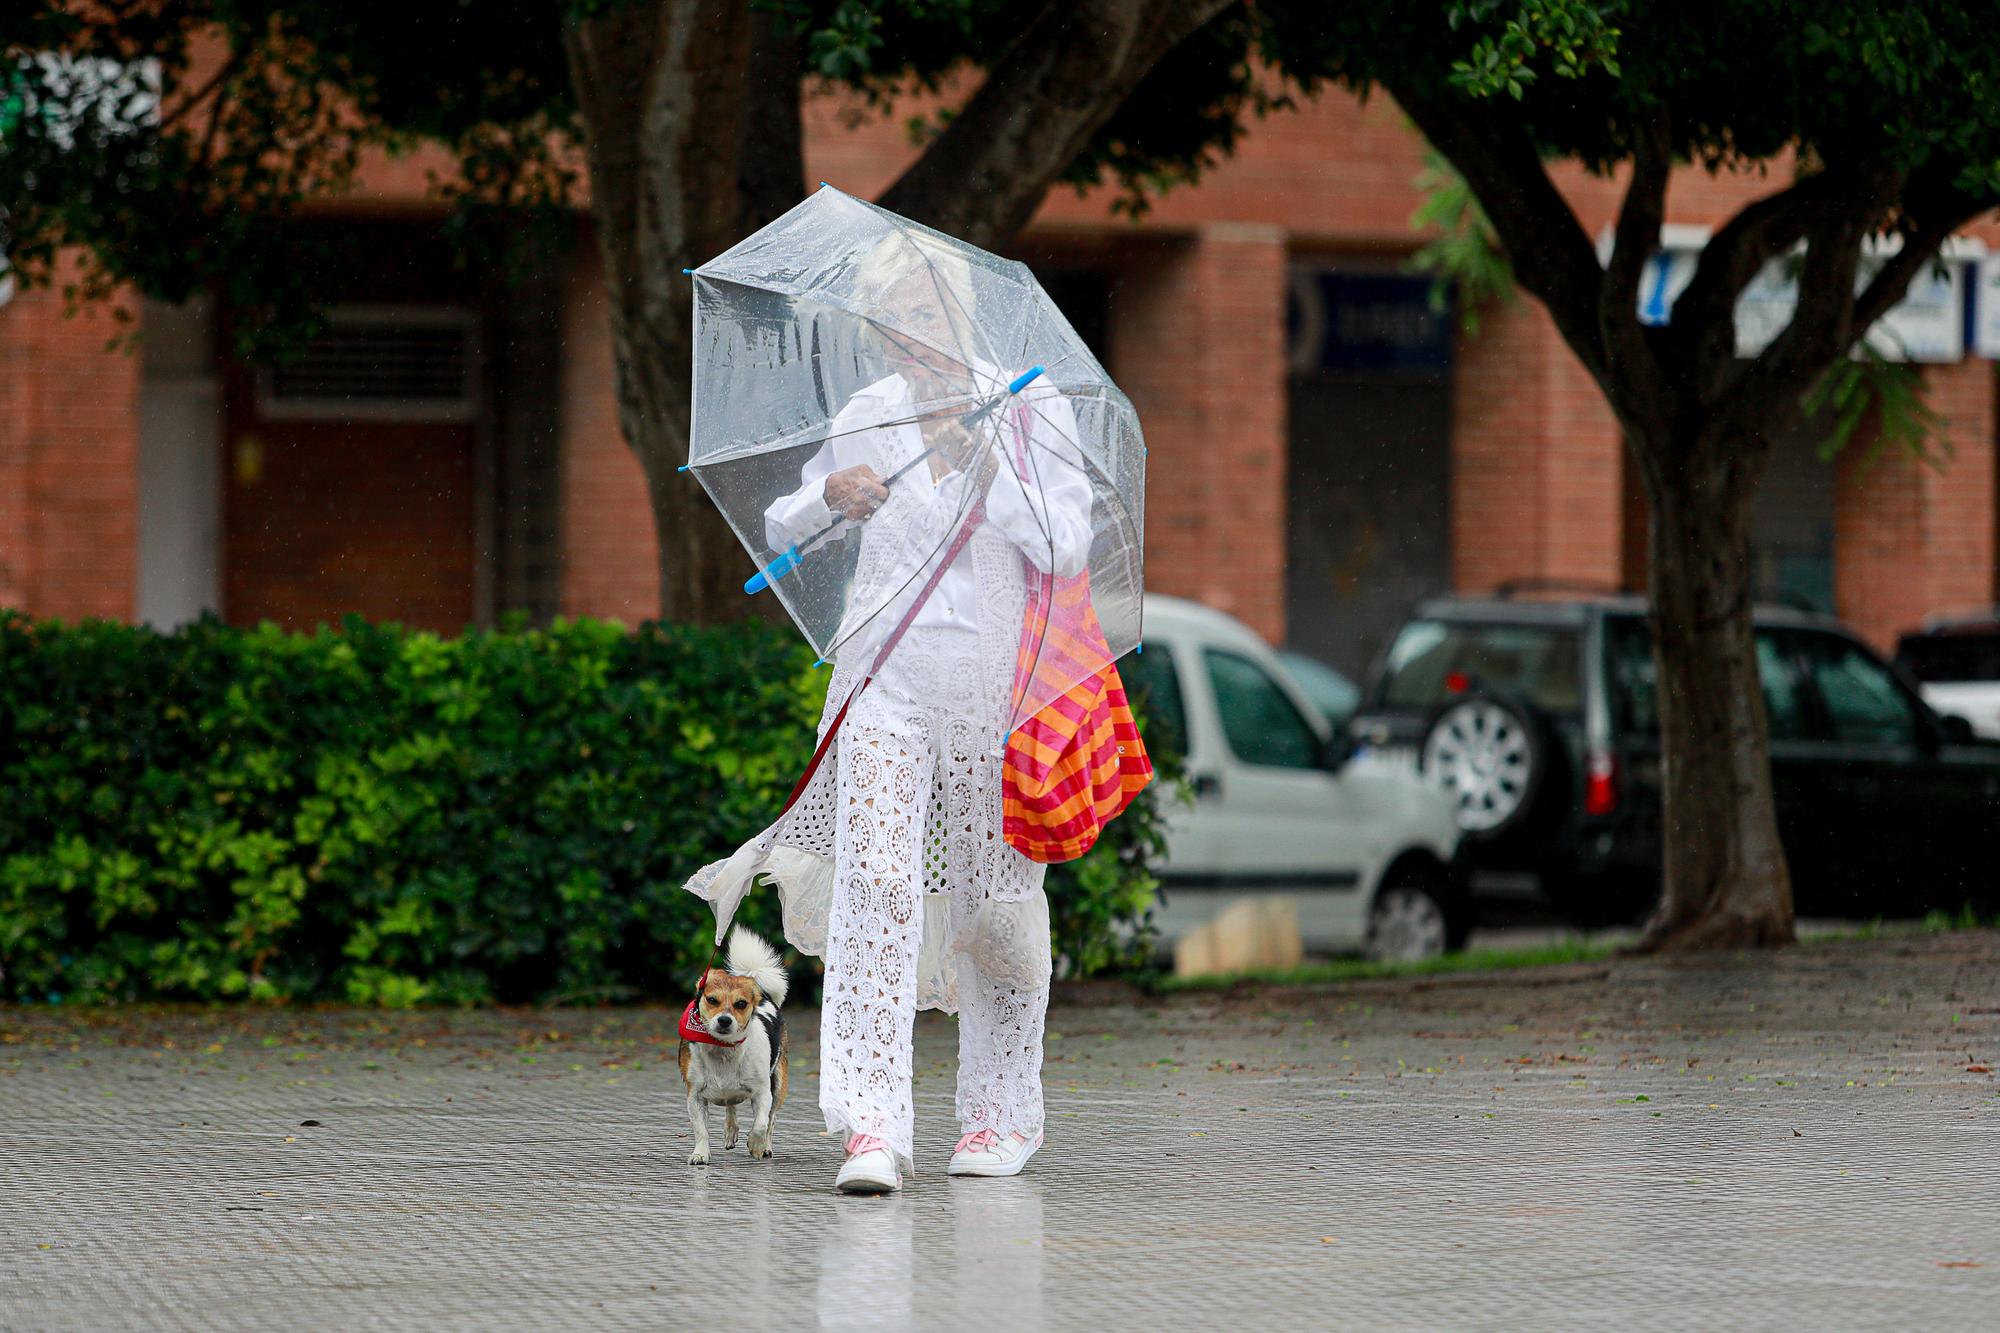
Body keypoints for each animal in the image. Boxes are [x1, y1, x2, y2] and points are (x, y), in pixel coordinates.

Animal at [680, 924, 788, 1160]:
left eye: (741, 1004)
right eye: (712, 1000)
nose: (724, 1020)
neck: (723, 1049)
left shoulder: (763, 1093)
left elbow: (760, 1123)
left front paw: (756, 1144)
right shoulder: (694, 1096)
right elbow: (701, 1129)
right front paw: (700, 1154)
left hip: (778, 1085)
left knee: (771, 1120)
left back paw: (766, 1145)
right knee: (731, 1105)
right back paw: (730, 1131)